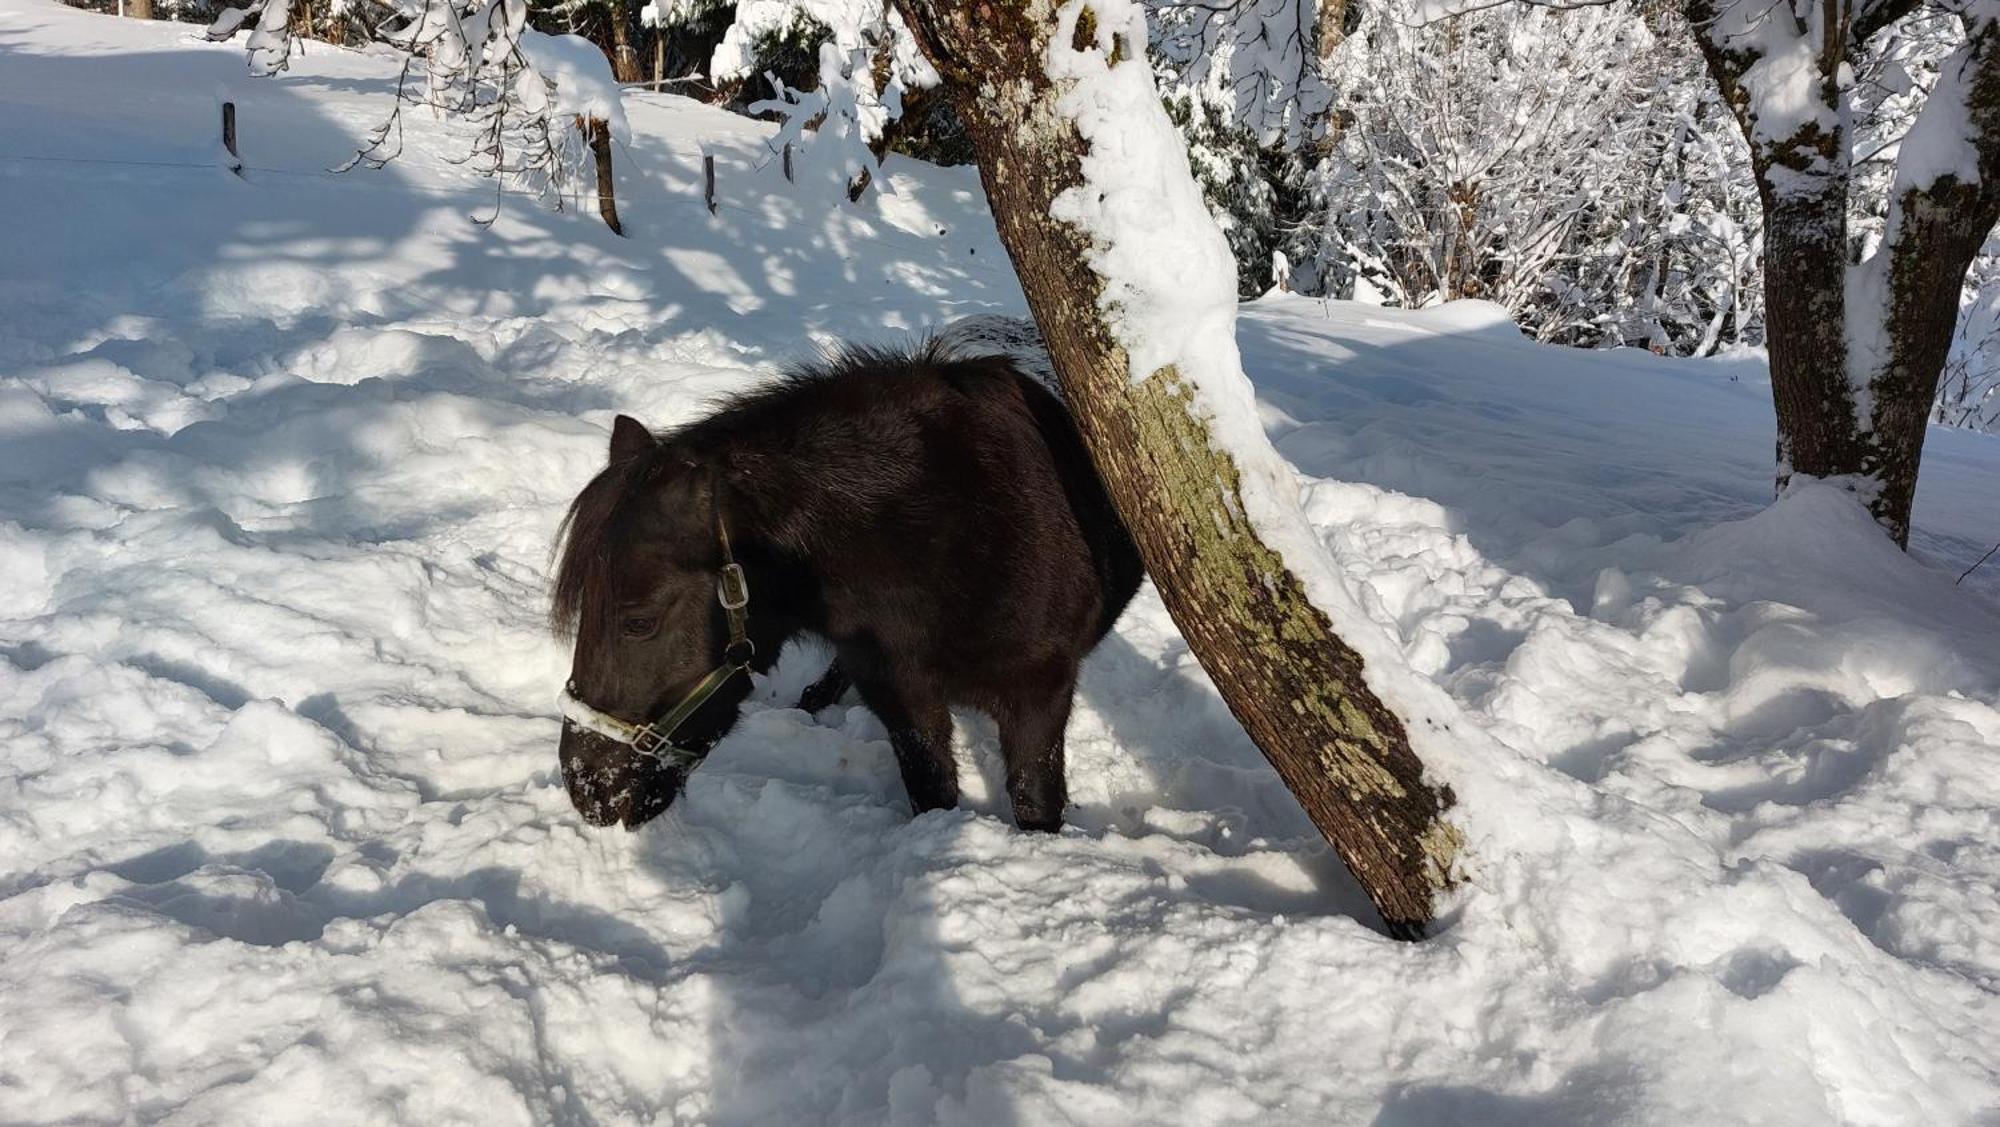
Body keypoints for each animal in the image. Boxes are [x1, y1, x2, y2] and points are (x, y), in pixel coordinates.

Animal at [552, 341, 1144, 827]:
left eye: (639, 622)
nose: (588, 789)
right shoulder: (898, 691)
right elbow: (931, 789)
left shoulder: (1039, 695)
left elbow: (1034, 800)